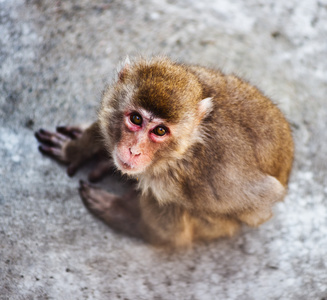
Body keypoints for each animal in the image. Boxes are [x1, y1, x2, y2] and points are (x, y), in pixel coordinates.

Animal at [35, 56, 294, 248]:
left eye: (160, 130)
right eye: (136, 119)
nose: (134, 150)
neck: (188, 146)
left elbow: (263, 197)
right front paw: (74, 150)